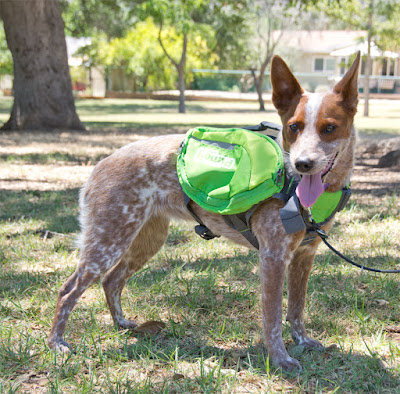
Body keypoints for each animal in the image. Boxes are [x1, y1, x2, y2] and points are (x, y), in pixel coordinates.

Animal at [47, 53, 360, 372]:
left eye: (329, 128)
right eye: (293, 127)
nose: (302, 164)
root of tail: (99, 166)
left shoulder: (304, 255)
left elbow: (297, 308)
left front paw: (302, 341)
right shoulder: (273, 256)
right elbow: (272, 318)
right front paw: (280, 359)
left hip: (146, 240)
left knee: (111, 281)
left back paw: (122, 323)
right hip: (108, 242)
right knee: (67, 290)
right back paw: (57, 343)